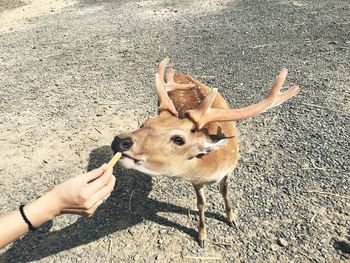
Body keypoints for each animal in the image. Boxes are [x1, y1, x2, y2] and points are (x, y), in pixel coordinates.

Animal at [111, 57, 298, 248]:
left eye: (179, 139)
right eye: (145, 123)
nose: (119, 141)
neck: (214, 165)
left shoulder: (229, 170)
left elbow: (225, 192)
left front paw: (232, 219)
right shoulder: (196, 181)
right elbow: (201, 204)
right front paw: (202, 235)